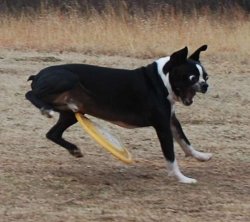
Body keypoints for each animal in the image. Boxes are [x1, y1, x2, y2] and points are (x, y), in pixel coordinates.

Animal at [25, 45, 212, 184]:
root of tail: (38, 75)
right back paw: (45, 109)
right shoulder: (162, 126)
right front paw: (182, 178)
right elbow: (171, 156)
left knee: (52, 133)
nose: (205, 85)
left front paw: (201, 156)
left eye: (206, 76)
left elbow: (185, 141)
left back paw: (74, 149)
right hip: (67, 78)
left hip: (71, 114)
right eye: (191, 77)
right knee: (30, 94)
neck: (161, 80)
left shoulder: (171, 121)